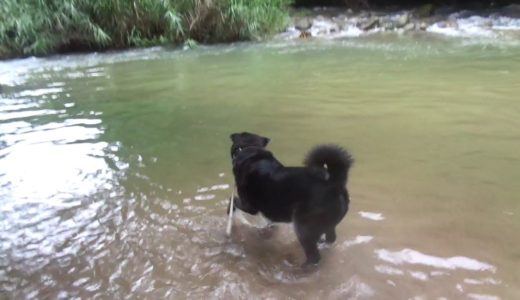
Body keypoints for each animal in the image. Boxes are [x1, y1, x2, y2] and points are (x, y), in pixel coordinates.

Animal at [229, 132, 354, 266]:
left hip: (304, 228)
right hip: (327, 226)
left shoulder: (249, 206)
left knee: (314, 256)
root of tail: (334, 184)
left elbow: (232, 200)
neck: (250, 150)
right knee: (330, 239)